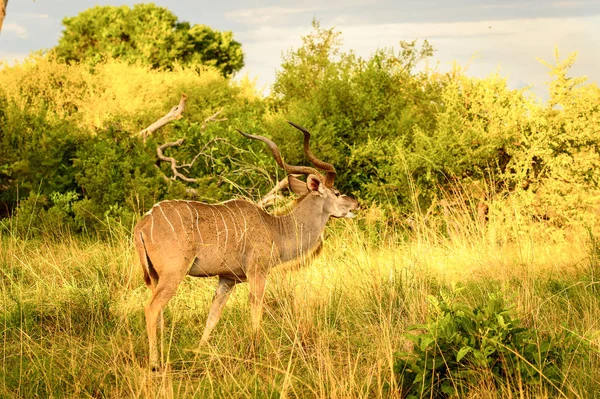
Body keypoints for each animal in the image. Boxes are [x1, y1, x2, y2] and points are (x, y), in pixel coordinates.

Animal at [134, 121, 358, 368]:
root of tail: (144, 223)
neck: (276, 228)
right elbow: (256, 306)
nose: (356, 203)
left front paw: (199, 352)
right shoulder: (257, 272)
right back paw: (155, 363)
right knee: (152, 308)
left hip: (155, 277)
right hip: (173, 273)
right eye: (337, 192)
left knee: (159, 313)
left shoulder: (227, 279)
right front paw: (254, 350)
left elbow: (213, 315)